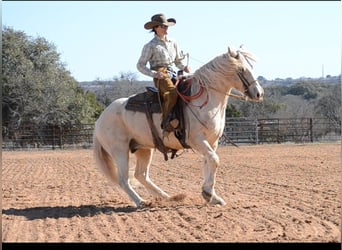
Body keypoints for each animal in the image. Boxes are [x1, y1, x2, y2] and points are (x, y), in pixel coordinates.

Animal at [92, 46, 264, 208]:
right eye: (242, 69)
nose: (259, 93)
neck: (204, 100)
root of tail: (100, 119)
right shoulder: (197, 140)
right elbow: (214, 160)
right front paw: (208, 193)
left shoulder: (212, 142)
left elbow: (208, 163)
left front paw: (211, 195)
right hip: (119, 150)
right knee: (123, 179)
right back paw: (141, 201)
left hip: (143, 148)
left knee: (141, 175)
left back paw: (169, 197)